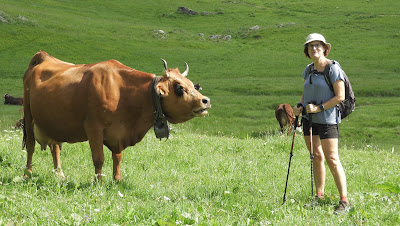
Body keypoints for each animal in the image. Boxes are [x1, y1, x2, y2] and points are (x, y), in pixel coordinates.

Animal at [22, 50, 211, 180]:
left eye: (192, 85)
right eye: (179, 87)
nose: (205, 101)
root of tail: (43, 56)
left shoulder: (119, 132)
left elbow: (117, 157)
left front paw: (117, 179)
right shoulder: (93, 127)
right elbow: (99, 158)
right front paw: (98, 182)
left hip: (52, 122)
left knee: (55, 147)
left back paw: (59, 174)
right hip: (28, 115)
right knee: (30, 146)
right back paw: (27, 173)